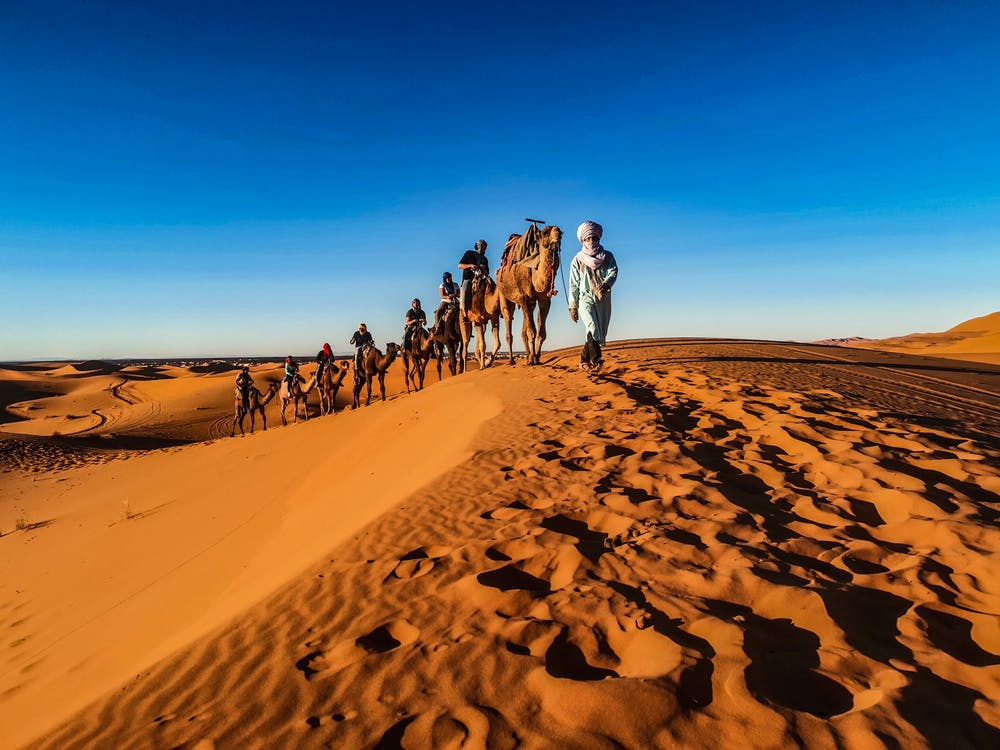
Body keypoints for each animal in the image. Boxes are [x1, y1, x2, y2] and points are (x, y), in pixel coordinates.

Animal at [494, 222, 564, 366]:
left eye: (562, 233)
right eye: (545, 232)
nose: (557, 234)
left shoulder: (544, 299)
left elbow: (541, 332)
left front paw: (536, 358)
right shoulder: (523, 297)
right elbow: (532, 331)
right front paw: (534, 360)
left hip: (529, 303)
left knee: (524, 329)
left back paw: (528, 357)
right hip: (503, 294)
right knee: (508, 320)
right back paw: (512, 360)